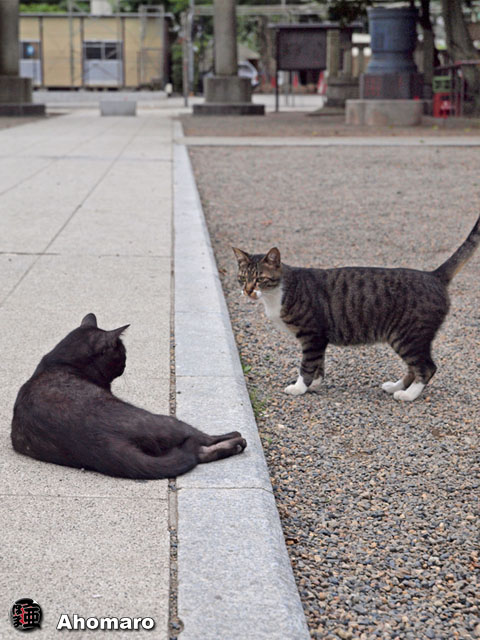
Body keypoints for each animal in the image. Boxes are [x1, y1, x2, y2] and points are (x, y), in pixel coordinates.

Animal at [11, 313, 246, 478]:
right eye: (122, 353)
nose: (125, 364)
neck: (61, 362)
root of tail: (101, 441)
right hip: (166, 422)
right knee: (200, 441)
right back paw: (236, 440)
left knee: (198, 452)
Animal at [233, 214, 480, 402]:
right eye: (242, 278)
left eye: (260, 279)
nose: (248, 290)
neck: (278, 292)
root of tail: (433, 276)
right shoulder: (319, 338)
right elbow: (319, 364)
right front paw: (315, 384)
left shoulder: (312, 335)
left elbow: (307, 365)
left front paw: (299, 387)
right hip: (409, 338)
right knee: (414, 367)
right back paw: (395, 386)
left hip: (408, 335)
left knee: (427, 367)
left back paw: (408, 395)